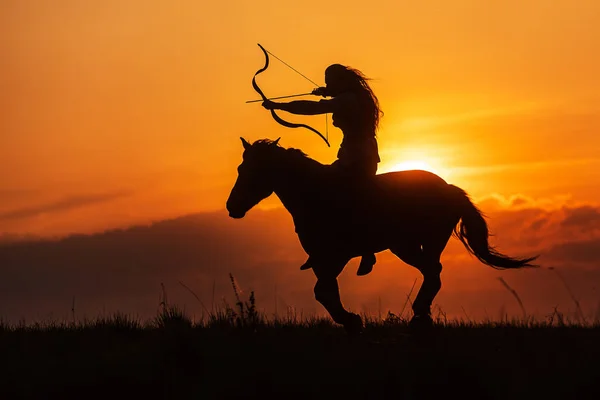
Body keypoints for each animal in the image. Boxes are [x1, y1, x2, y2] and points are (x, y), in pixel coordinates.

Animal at [226, 139, 540, 332]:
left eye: (254, 170)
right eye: (240, 168)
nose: (232, 207)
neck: (315, 195)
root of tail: (450, 188)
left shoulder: (335, 256)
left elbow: (323, 291)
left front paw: (352, 321)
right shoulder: (322, 259)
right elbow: (325, 291)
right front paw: (350, 321)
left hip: (420, 243)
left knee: (433, 273)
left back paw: (419, 316)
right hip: (410, 246)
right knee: (432, 273)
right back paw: (420, 315)